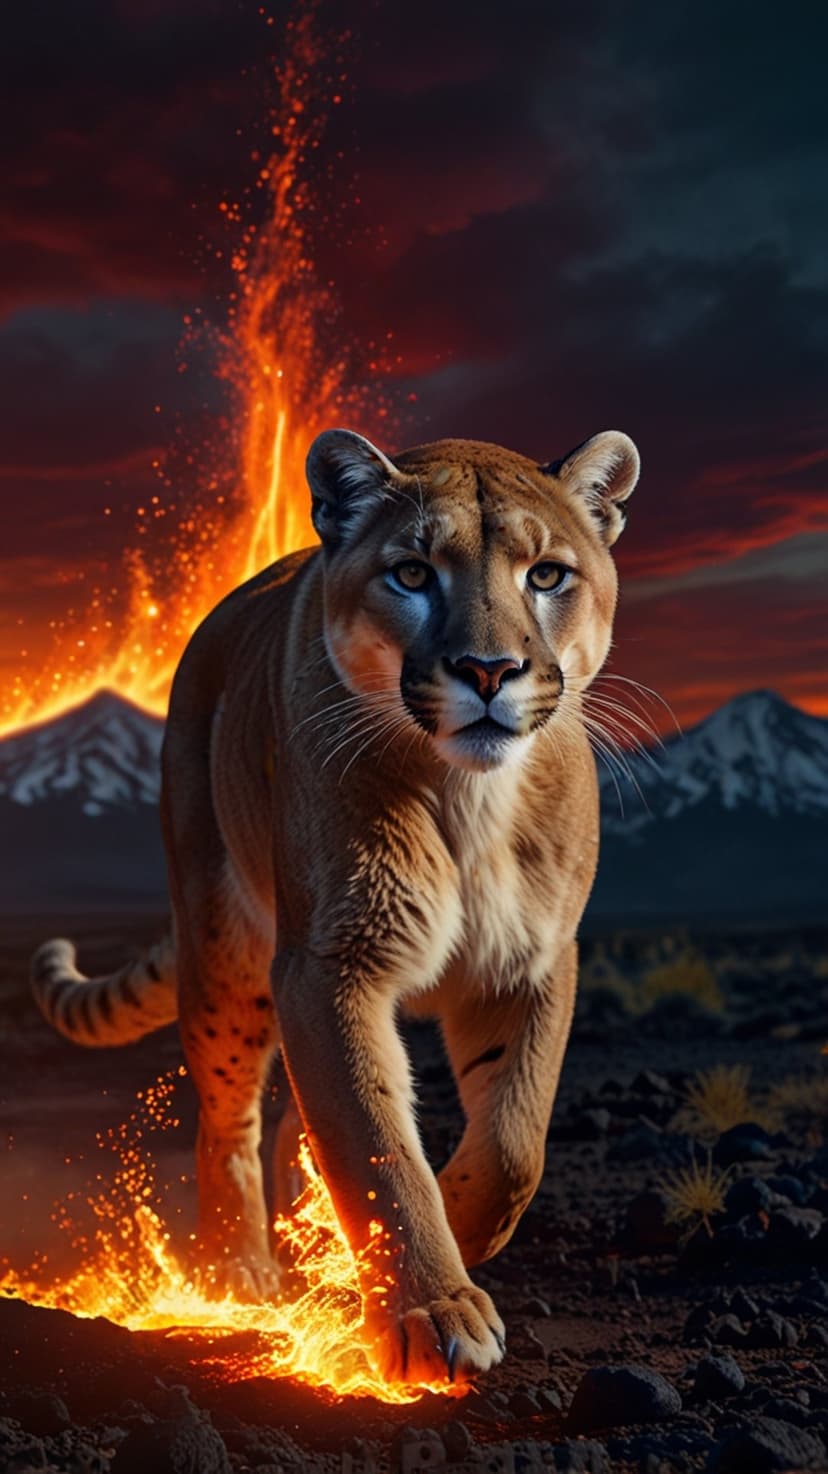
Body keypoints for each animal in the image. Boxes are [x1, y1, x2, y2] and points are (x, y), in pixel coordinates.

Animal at [31, 426, 639, 1384]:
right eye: (412, 573)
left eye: (547, 575)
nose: (489, 671)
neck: (469, 799)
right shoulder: (328, 964)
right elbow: (375, 1143)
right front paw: (434, 1308)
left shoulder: (535, 959)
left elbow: (514, 1141)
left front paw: (453, 1235)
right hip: (226, 949)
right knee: (229, 1120)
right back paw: (241, 1273)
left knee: (292, 1123)